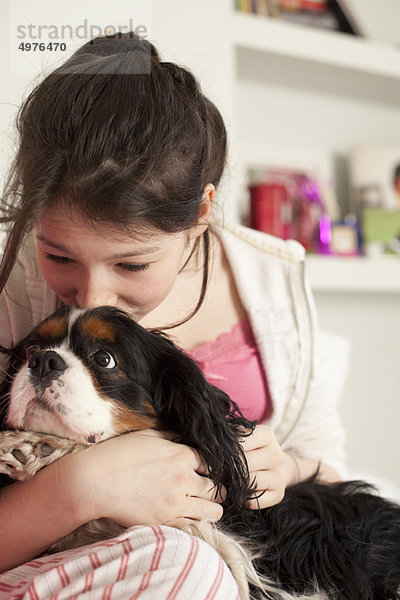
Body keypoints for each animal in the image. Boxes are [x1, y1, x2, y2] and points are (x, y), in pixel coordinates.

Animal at [0, 304, 400, 600]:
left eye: (104, 359)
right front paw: (32, 446)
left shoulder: (234, 548)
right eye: (31, 350)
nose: (44, 361)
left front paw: (38, 447)